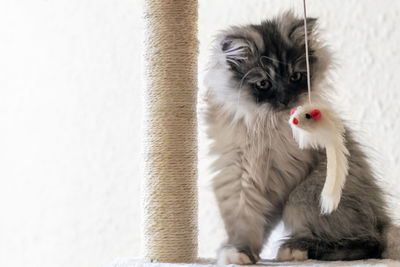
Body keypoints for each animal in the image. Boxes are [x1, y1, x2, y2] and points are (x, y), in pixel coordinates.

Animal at [203, 11, 400, 264]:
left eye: (295, 76)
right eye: (264, 83)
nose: (286, 99)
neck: (264, 127)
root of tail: (383, 221)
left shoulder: (280, 179)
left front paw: (240, 253)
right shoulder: (237, 177)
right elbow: (244, 223)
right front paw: (240, 252)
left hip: (304, 198)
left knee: (367, 243)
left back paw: (295, 249)